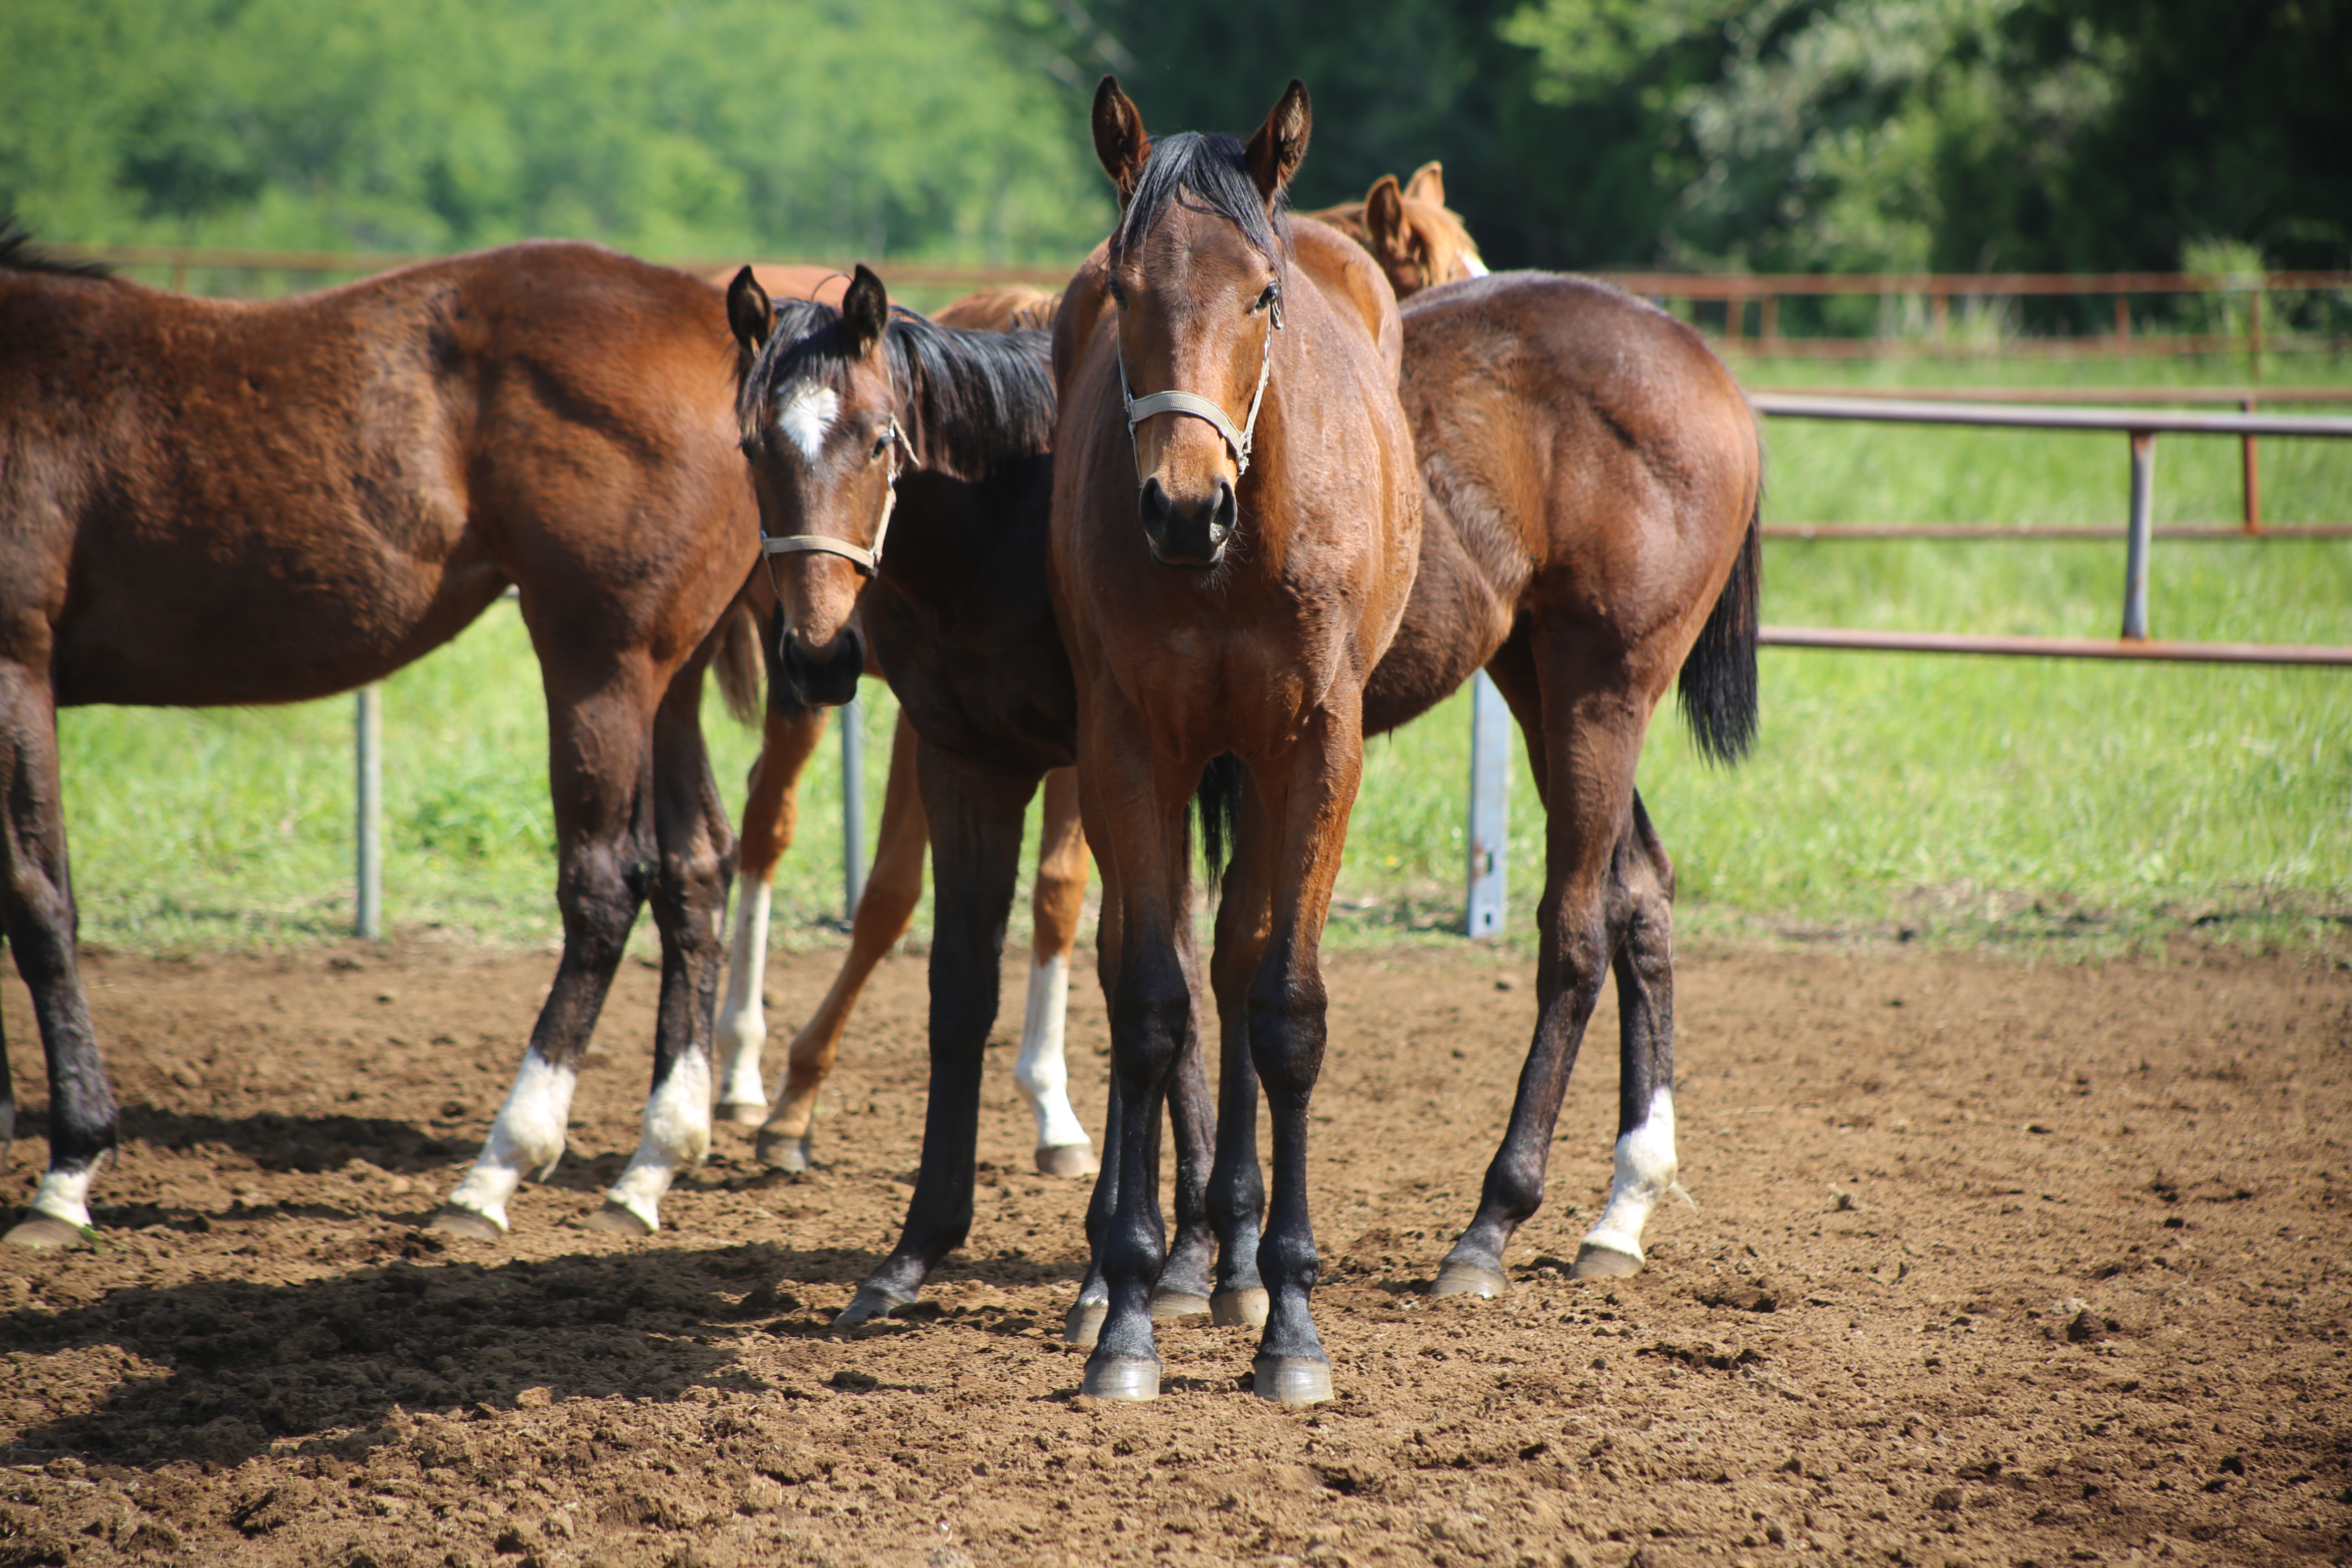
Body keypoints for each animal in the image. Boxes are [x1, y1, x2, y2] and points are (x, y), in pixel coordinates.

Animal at [0, 223, 753, 1250]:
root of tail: (719, 324)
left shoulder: (16, 664)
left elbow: (38, 902)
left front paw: (68, 1170)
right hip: (667, 678)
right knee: (695, 868)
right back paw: (649, 1167)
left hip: (599, 662)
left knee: (605, 883)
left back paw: (495, 1171)